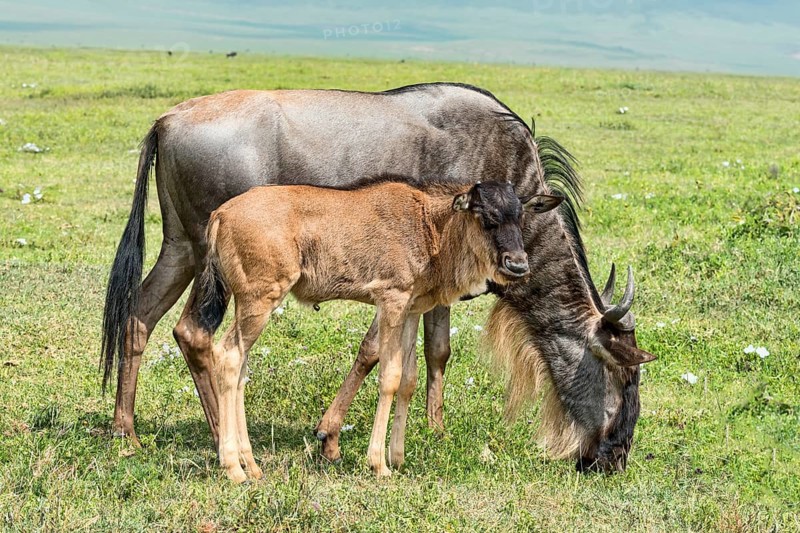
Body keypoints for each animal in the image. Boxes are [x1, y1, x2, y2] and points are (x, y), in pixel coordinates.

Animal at [196, 180, 562, 482]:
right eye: (486, 216)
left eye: (520, 216)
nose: (517, 265)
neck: (430, 226)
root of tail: (220, 215)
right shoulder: (391, 301)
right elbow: (390, 377)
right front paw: (378, 464)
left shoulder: (411, 309)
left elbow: (410, 379)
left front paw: (397, 458)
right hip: (260, 300)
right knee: (229, 355)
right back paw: (233, 468)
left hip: (252, 306)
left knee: (240, 366)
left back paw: (252, 466)